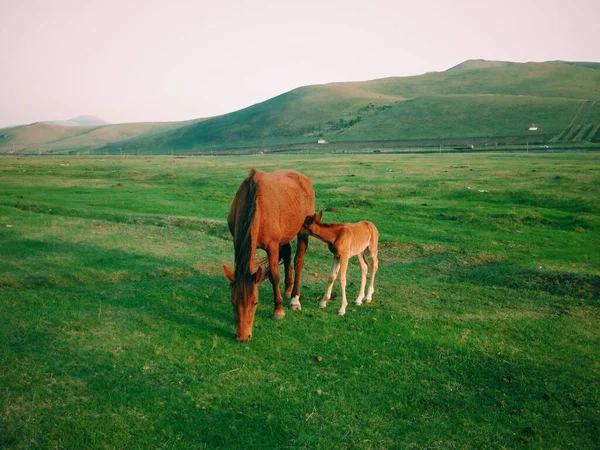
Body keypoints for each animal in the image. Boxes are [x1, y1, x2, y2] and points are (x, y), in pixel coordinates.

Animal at [220, 169, 314, 342]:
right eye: (233, 301)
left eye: (255, 302)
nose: (242, 336)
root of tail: (303, 178)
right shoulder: (237, 243)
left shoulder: (272, 247)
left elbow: (274, 277)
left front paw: (278, 310)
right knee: (288, 254)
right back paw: (288, 289)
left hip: (303, 230)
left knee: (298, 261)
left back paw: (295, 299)